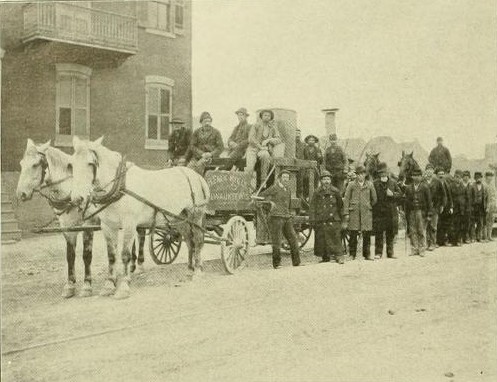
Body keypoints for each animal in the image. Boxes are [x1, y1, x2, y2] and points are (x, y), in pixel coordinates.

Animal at [16, 140, 97, 298]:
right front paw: (70, 286)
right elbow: (70, 255)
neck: (71, 190)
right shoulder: (67, 226)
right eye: (21, 163)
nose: (20, 193)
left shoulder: (88, 224)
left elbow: (86, 255)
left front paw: (87, 286)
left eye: (35, 164)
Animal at [70, 136, 209, 300]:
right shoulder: (108, 226)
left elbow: (125, 255)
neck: (120, 186)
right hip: (180, 218)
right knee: (189, 242)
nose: (77, 199)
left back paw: (198, 272)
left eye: (90, 163)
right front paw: (109, 286)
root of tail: (196, 176)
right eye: (71, 164)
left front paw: (123, 287)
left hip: (196, 216)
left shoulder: (129, 224)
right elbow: (111, 256)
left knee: (198, 241)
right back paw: (189, 270)